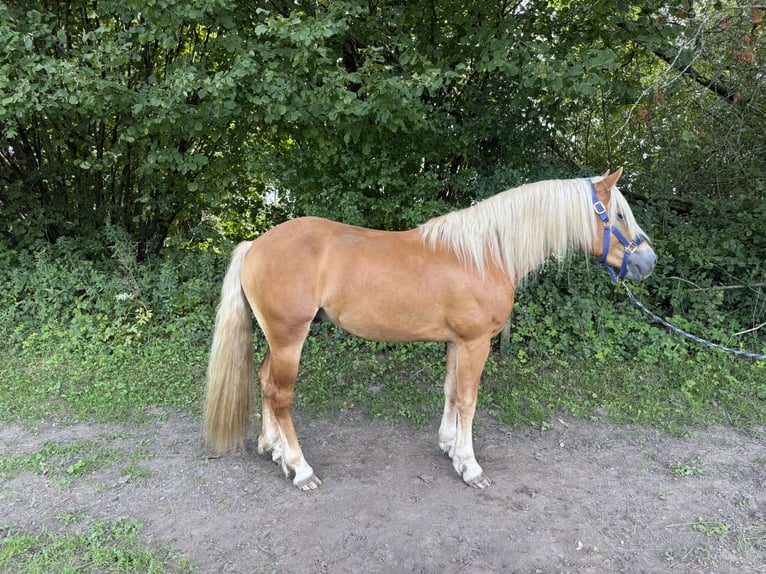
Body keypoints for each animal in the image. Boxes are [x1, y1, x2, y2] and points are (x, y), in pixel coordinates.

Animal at [204, 168, 656, 490]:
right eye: (618, 214)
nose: (648, 262)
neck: (485, 253)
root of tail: (255, 245)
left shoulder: (458, 342)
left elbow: (451, 392)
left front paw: (450, 447)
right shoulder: (476, 343)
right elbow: (468, 400)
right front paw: (470, 466)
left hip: (278, 339)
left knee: (264, 383)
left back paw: (271, 449)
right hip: (289, 339)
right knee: (280, 395)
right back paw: (299, 468)